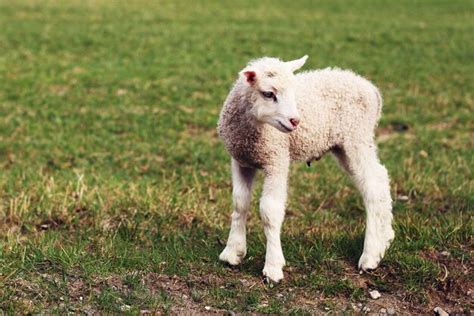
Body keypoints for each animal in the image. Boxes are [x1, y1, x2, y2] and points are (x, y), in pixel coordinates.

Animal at [217, 55, 394, 282]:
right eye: (268, 93)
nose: (295, 121)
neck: (252, 131)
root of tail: (372, 90)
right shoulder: (241, 160)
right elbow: (239, 203)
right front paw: (233, 252)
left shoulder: (277, 158)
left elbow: (269, 210)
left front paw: (273, 267)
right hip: (346, 145)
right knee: (380, 177)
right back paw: (385, 238)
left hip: (356, 137)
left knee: (372, 188)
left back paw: (370, 255)